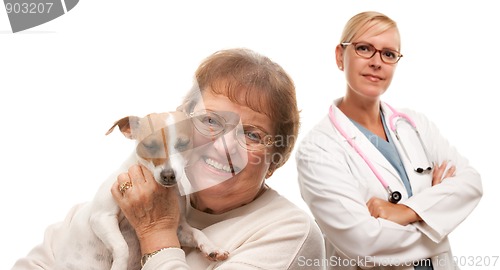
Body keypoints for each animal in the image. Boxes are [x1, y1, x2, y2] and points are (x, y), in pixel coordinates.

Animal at [52, 110, 229, 268]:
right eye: (149, 145)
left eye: (183, 144)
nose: (168, 175)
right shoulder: (102, 217)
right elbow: (122, 247)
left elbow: (197, 232)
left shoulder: (178, 228)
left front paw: (212, 248)